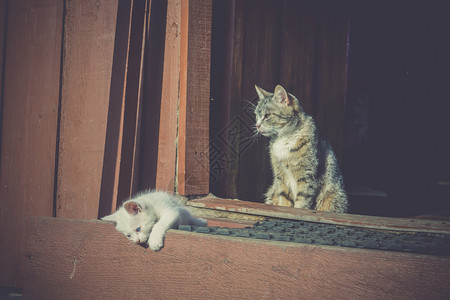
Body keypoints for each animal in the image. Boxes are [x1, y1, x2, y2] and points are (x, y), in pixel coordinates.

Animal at [255, 84, 346, 213]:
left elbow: (302, 200)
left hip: (334, 196)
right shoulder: (280, 175)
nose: (257, 125)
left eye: (267, 116)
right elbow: (283, 197)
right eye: (256, 116)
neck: (284, 138)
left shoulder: (307, 175)